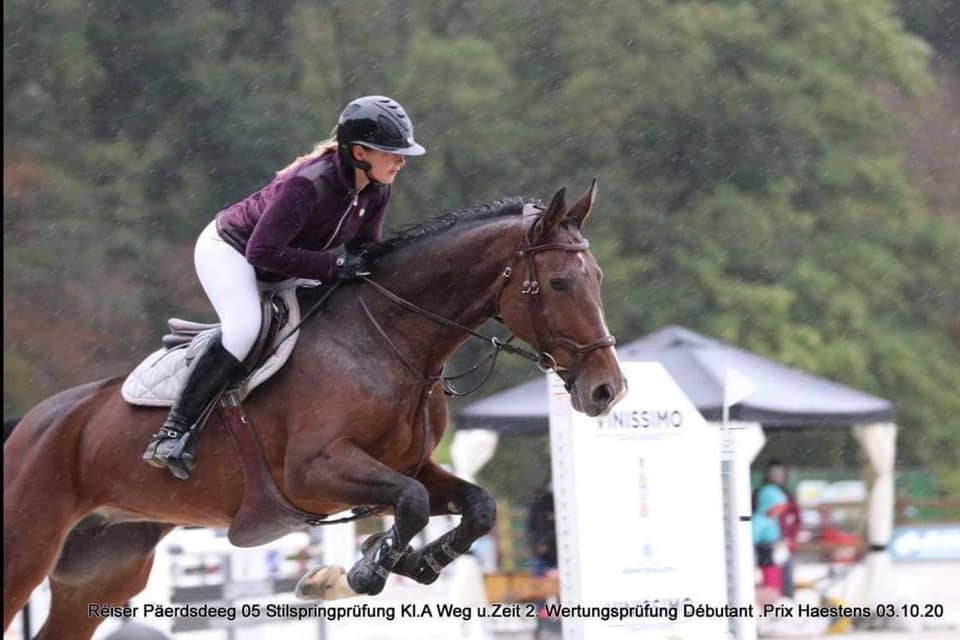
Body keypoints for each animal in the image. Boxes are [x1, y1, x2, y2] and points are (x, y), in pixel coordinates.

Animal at [3, 181, 628, 640]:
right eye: (559, 283)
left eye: (597, 278)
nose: (608, 391)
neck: (385, 340)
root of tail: (27, 426)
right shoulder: (313, 473)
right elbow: (411, 503)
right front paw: (358, 571)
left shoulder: (406, 466)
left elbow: (474, 507)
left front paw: (404, 565)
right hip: (26, 551)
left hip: (102, 572)